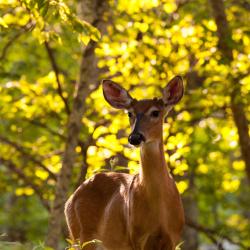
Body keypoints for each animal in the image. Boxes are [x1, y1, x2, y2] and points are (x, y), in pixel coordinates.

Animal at [65, 76, 185, 250]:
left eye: (155, 112)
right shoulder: (136, 237)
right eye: (130, 113)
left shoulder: (173, 238)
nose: (135, 137)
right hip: (81, 235)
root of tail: (71, 198)